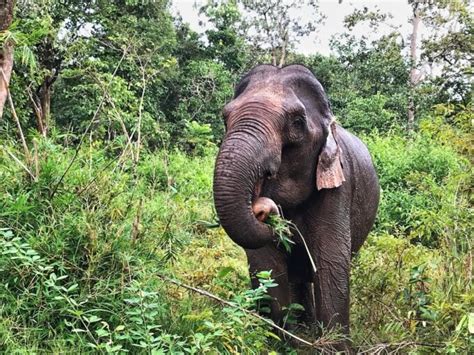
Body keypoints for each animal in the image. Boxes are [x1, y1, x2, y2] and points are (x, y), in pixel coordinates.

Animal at [213, 64, 380, 348]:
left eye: (297, 123)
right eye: (225, 118)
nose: (263, 209)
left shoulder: (338, 188)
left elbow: (331, 260)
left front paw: (334, 348)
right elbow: (266, 263)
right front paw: (287, 344)